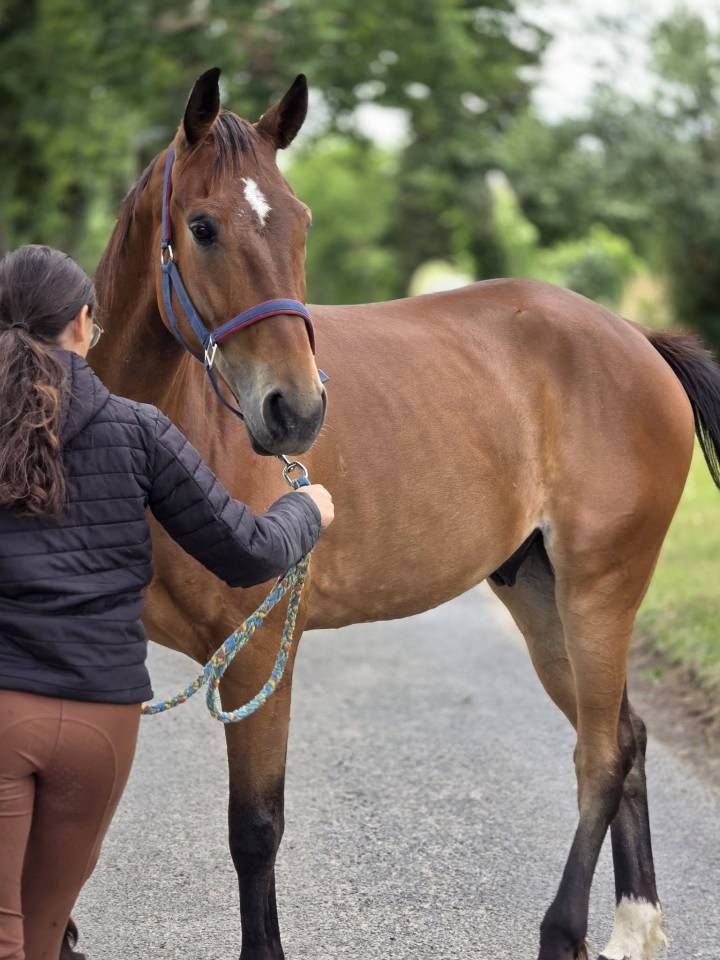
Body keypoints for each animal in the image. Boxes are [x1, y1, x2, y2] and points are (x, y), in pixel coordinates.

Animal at [90, 67, 720, 960]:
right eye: (203, 227)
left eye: (301, 222)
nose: (296, 411)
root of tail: (635, 338)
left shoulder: (259, 657)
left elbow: (255, 829)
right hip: (540, 594)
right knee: (625, 740)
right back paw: (634, 929)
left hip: (600, 589)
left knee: (600, 755)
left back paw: (563, 931)